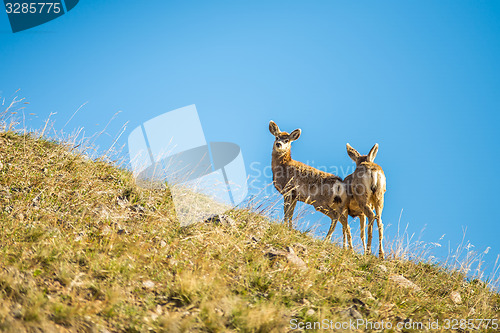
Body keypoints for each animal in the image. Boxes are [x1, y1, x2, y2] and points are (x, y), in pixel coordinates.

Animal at [270, 120, 352, 248]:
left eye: (287, 140)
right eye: (277, 137)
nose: (278, 144)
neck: (283, 166)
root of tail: (340, 184)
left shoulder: (288, 190)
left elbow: (286, 212)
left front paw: (284, 227)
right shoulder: (295, 196)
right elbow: (290, 213)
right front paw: (290, 228)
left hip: (320, 202)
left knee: (335, 217)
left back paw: (326, 241)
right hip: (339, 205)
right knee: (345, 223)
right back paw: (348, 249)